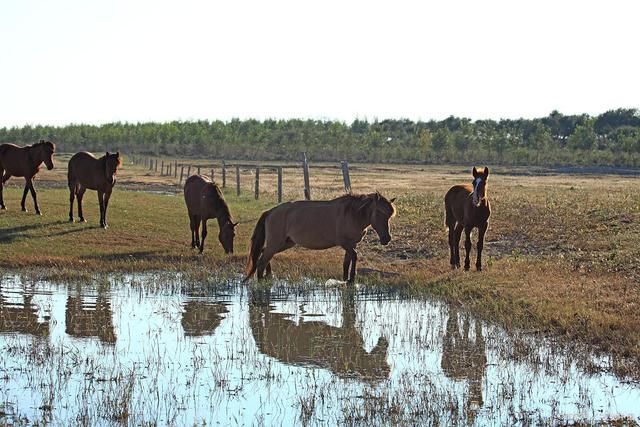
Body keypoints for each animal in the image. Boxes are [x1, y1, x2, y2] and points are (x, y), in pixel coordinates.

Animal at [245, 193, 396, 284]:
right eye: (380, 212)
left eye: (390, 215)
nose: (387, 238)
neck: (352, 214)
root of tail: (271, 211)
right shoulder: (345, 243)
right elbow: (355, 256)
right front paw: (351, 279)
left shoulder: (352, 244)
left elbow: (347, 262)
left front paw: (346, 280)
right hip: (276, 243)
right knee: (261, 262)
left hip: (284, 243)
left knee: (263, 255)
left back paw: (269, 276)